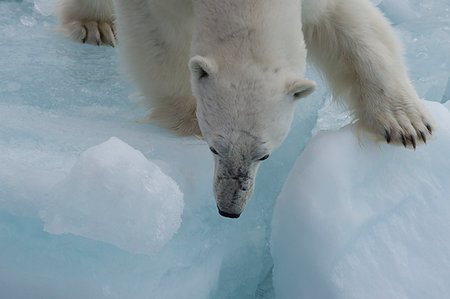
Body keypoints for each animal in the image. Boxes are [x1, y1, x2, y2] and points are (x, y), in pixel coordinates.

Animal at [57, 0, 436, 218]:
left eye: (264, 155)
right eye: (213, 148)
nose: (229, 210)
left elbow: (353, 28)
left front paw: (406, 124)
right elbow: (160, 39)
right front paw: (187, 119)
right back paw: (94, 23)